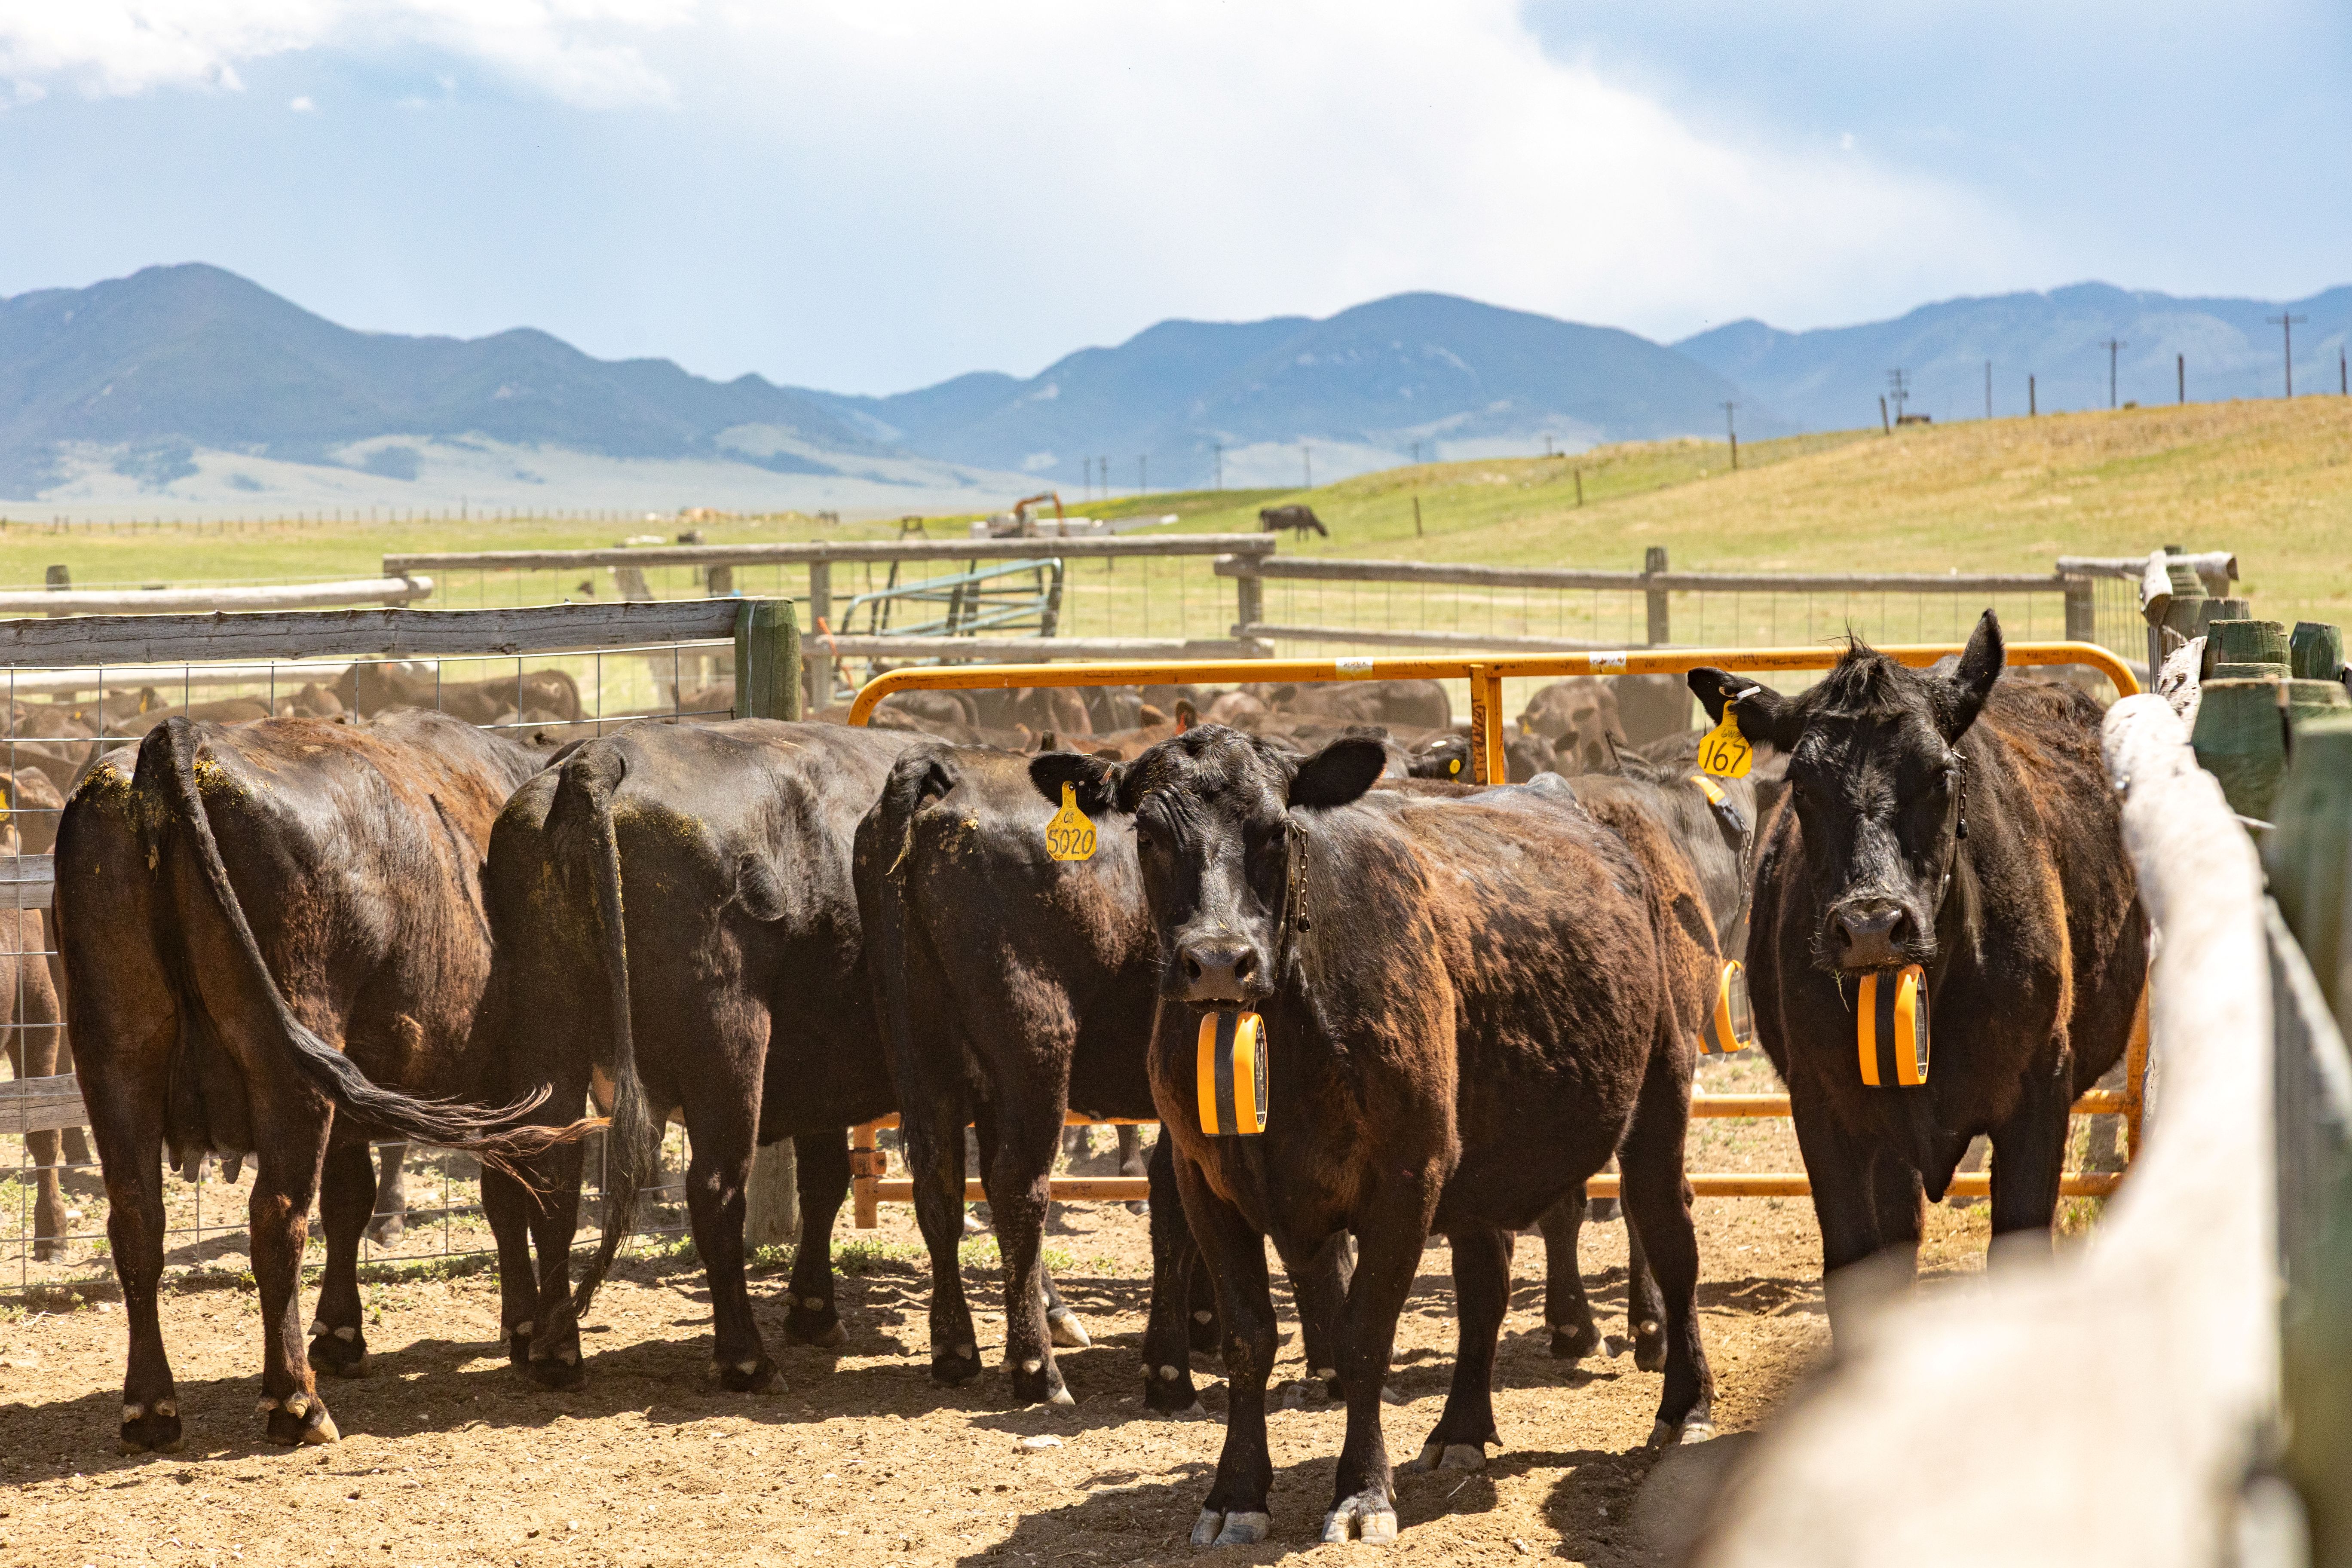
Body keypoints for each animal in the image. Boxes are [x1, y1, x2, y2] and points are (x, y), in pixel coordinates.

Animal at [57, 713, 584, 1453]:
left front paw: (341, 1334)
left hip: (116, 1059)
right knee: (277, 1219)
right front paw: (538, 1334)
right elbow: (532, 1192)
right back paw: (294, 1401)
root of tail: (180, 741)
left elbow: (357, 1200)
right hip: (288, 1065)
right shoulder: (550, 1069)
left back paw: (151, 1407)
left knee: (138, 1223)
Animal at [855, 743, 1352, 1413]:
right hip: (1034, 1048)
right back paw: (1036, 1367)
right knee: (1017, 1186)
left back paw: (958, 1349)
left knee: (940, 1182)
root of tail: (945, 774)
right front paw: (1176, 1368)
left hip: (920, 1045)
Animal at [1029, 727, 1718, 1546]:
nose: (1220, 961)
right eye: (1149, 835)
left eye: (1277, 830)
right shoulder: (1206, 1183)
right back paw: (1462, 1428)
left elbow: (1362, 1337)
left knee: (1672, 1241)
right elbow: (1249, 1340)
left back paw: (1685, 1407)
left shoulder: (1405, 1175)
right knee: (1485, 1287)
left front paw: (1361, 1491)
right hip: (1477, 1167)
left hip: (1659, 1094)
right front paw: (1235, 1493)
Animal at [1259, 504, 1330, 540]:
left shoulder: (1299, 526)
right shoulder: (1304, 525)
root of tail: (1265, 510)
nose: (1328, 535)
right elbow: (1306, 533)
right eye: (1325, 528)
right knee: (1264, 532)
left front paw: (1298, 540)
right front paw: (1307, 540)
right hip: (1269, 526)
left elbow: (1298, 533)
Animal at [1687, 613, 2146, 1335]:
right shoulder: (1824, 1107)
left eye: (1939, 776)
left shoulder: (2041, 1087)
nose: (1872, 925)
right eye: (1803, 786)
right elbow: (1856, 1276)